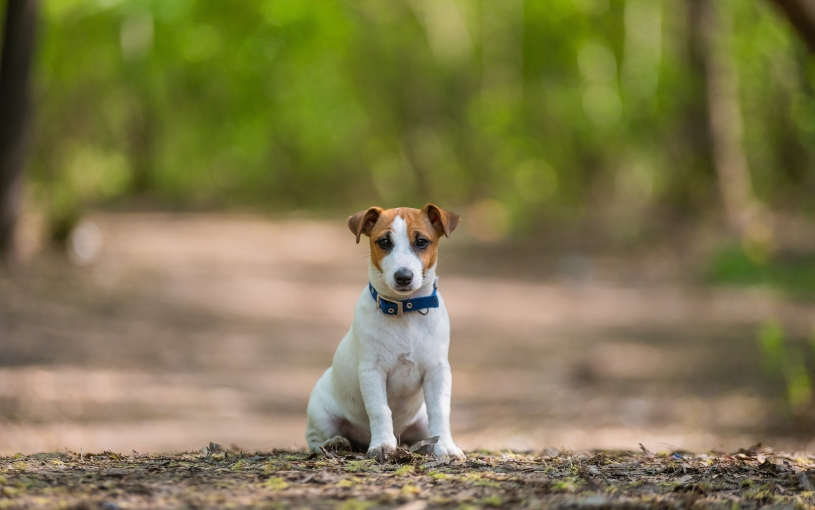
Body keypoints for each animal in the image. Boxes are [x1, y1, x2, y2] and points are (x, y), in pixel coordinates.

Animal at [308, 204, 466, 462]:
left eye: (421, 242)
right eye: (384, 242)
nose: (403, 277)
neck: (405, 312)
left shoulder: (438, 371)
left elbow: (440, 411)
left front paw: (446, 447)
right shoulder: (372, 372)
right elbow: (380, 410)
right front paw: (383, 445)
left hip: (419, 421)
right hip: (321, 414)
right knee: (315, 439)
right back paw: (335, 443)